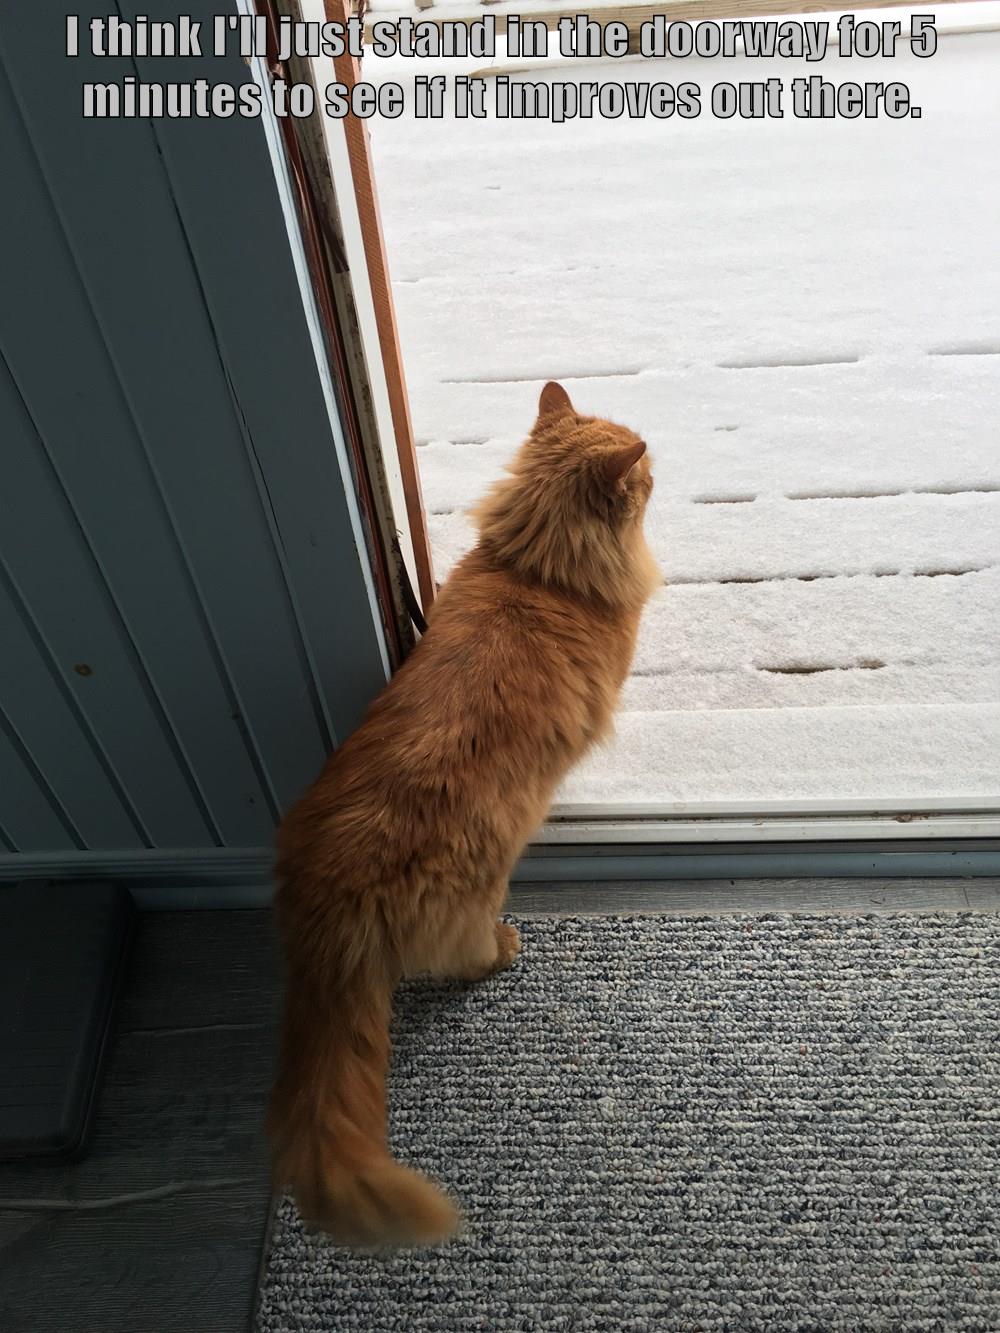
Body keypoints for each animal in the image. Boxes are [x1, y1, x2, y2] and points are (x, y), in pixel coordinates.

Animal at [267, 381, 660, 1246]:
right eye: (646, 476)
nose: (658, 468)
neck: (537, 569)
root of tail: (329, 902)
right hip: (481, 889)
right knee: (465, 954)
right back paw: (504, 948)